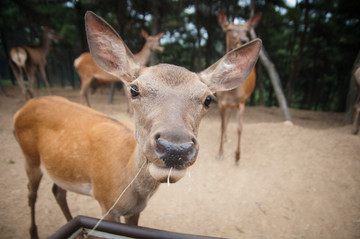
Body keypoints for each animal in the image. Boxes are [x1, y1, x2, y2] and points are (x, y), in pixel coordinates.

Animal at [217, 8, 262, 162]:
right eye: (229, 29)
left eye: (247, 30)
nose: (244, 40)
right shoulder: (220, 102)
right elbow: (222, 126)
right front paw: (220, 154)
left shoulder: (242, 102)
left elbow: (239, 128)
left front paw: (237, 155)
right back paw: (225, 138)